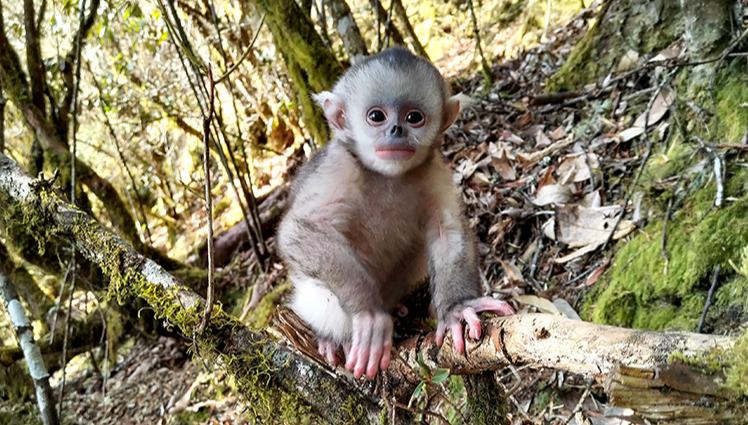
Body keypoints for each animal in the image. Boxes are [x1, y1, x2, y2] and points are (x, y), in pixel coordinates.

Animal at [277, 47, 514, 380]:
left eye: (414, 117)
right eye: (376, 116)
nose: (396, 130)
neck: (388, 177)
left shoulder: (432, 170)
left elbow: (447, 230)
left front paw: (457, 308)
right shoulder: (338, 167)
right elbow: (301, 230)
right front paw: (369, 314)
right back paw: (331, 336)